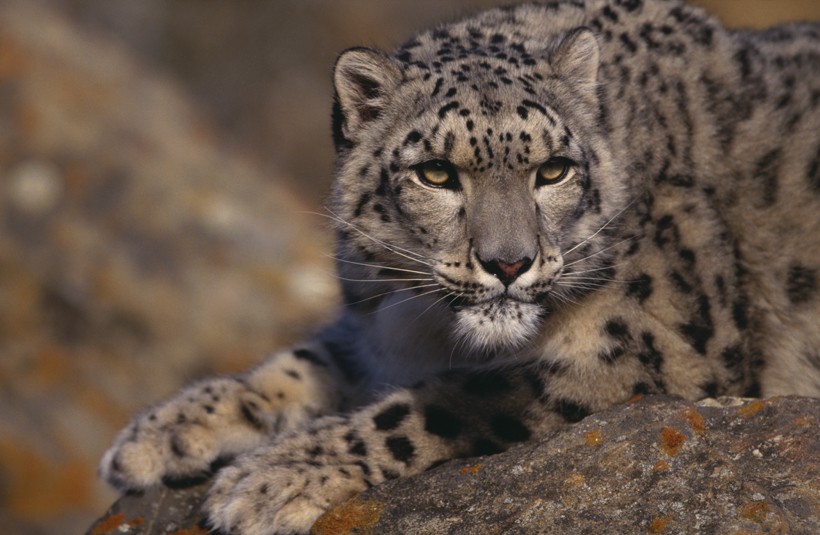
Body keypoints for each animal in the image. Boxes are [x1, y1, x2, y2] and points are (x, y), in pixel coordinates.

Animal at [101, 2, 820, 532]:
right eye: (437, 172)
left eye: (553, 169)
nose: (509, 262)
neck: (432, 328)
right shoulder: (380, 324)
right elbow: (307, 361)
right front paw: (162, 432)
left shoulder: (657, 350)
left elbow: (444, 401)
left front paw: (269, 478)